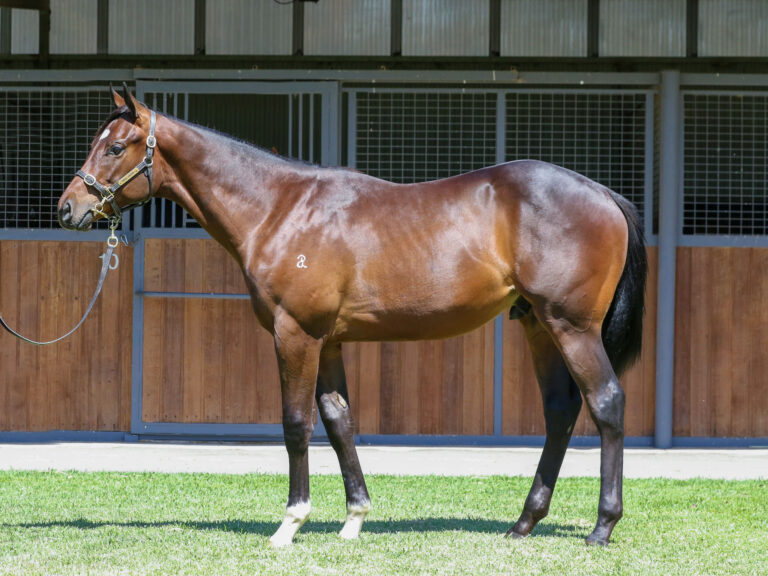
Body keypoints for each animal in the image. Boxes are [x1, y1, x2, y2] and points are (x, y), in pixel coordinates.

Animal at [57, 86, 640, 548]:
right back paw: (524, 523)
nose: (67, 208)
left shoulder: (296, 335)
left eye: (115, 146)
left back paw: (602, 526)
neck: (279, 209)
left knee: (606, 402)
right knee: (561, 411)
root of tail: (601, 192)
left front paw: (290, 523)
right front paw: (355, 519)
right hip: (538, 326)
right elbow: (340, 422)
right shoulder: (329, 341)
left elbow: (297, 424)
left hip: (571, 327)